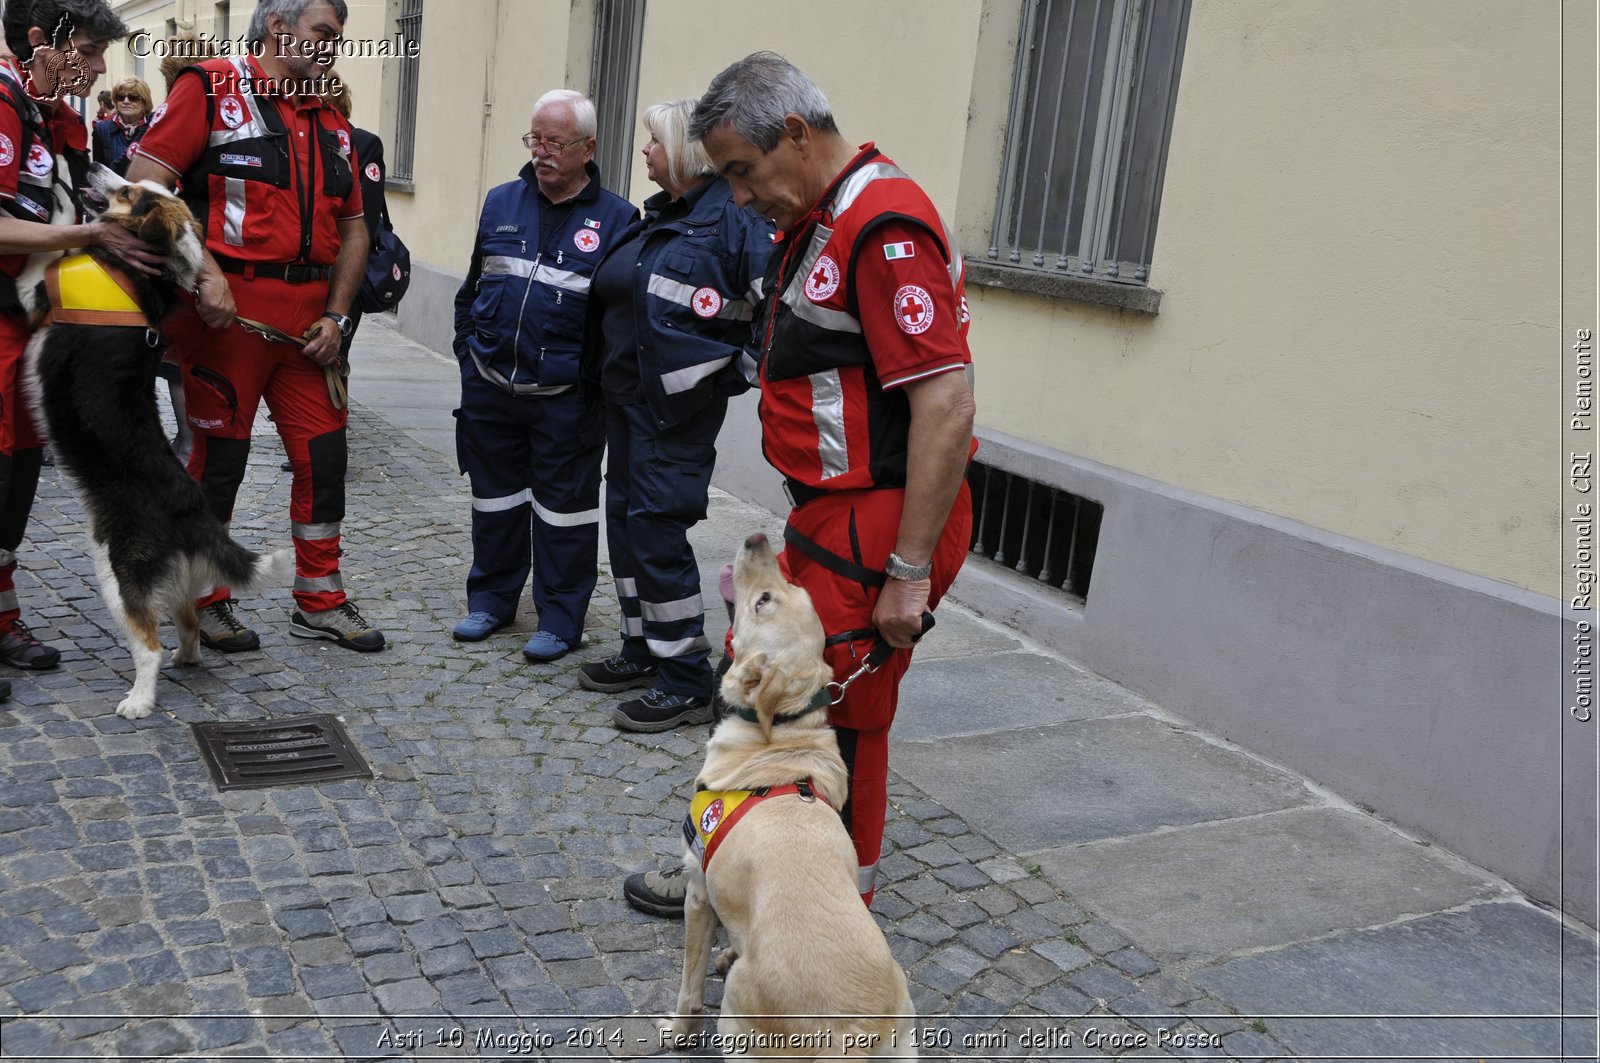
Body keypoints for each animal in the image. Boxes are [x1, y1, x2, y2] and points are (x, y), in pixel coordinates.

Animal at [20, 170, 289, 723]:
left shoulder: (32, 293)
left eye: (128, 193)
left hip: (119, 574)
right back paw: (188, 659)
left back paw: (139, 701)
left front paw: (59, 195)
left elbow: (49, 241)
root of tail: (192, 508)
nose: (95, 168)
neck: (133, 272)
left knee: (150, 645)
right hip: (174, 578)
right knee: (189, 622)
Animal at [662, 534, 915, 1056]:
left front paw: (678, 1032)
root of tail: (847, 1034)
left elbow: (689, 984)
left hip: (738, 1015)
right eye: (799, 592)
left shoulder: (698, 889)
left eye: (763, 602)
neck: (781, 733)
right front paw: (729, 948)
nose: (756, 537)